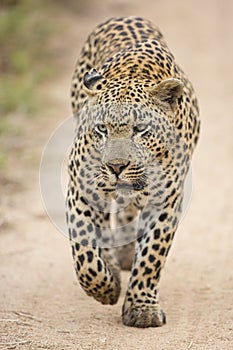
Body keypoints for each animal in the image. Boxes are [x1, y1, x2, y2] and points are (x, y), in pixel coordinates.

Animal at [66, 16, 200, 328]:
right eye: (101, 129)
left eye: (140, 129)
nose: (116, 166)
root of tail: (123, 17)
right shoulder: (81, 186)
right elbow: (85, 251)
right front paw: (105, 287)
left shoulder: (166, 199)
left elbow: (152, 254)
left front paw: (142, 309)